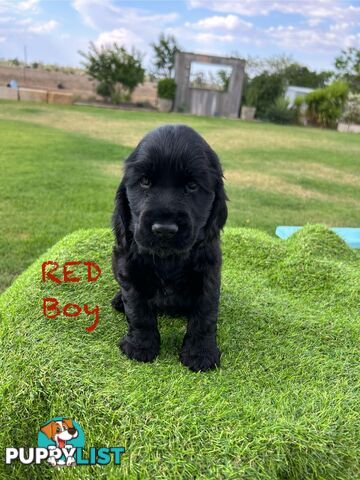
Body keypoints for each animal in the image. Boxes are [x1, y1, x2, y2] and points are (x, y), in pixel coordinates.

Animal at [111, 124, 226, 372]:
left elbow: (205, 313)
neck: (169, 259)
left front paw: (200, 354)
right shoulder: (127, 267)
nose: (164, 229)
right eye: (145, 181)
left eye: (192, 186)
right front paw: (140, 347)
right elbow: (137, 310)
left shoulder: (209, 271)